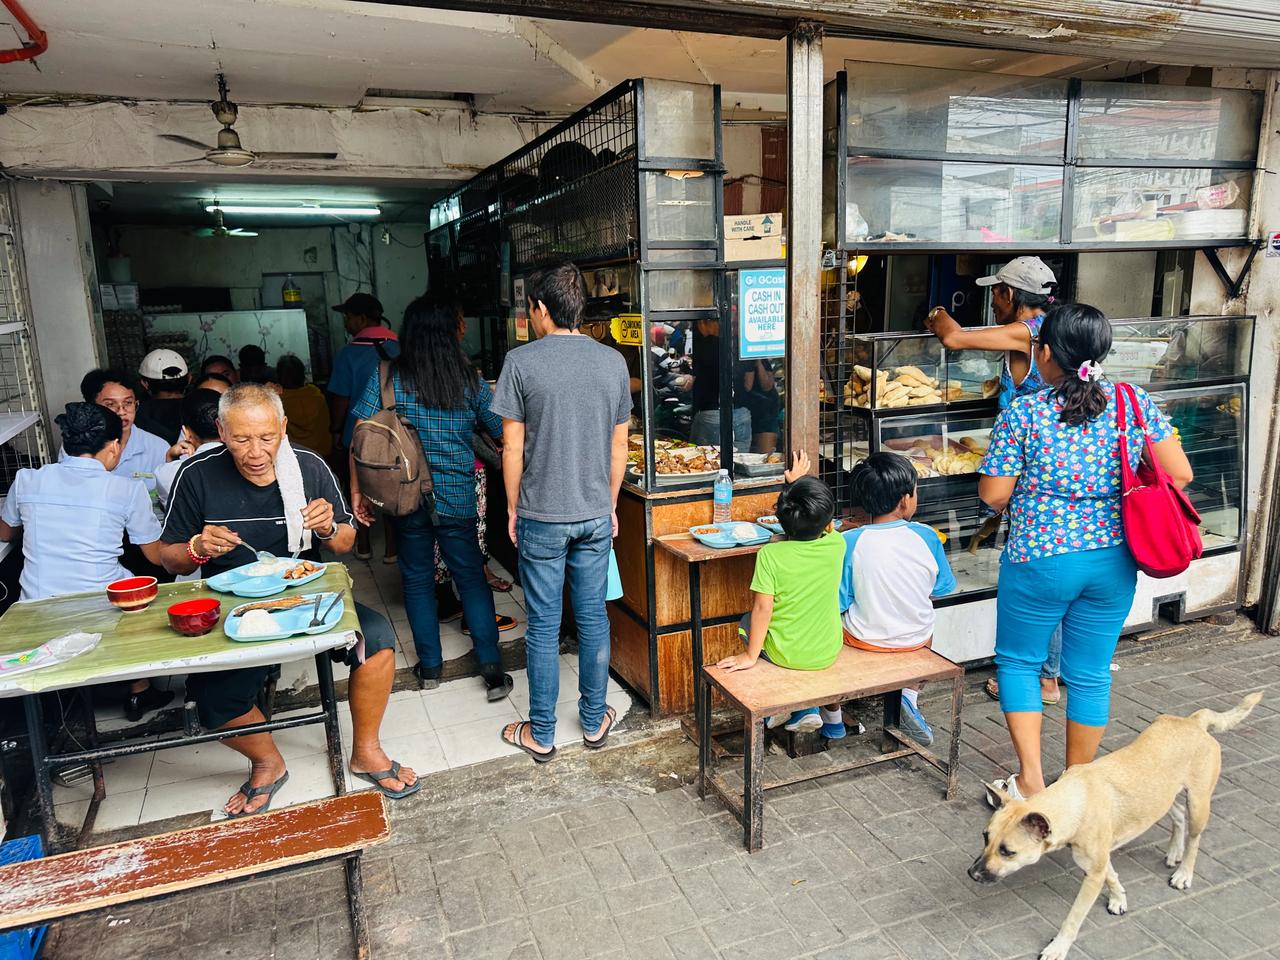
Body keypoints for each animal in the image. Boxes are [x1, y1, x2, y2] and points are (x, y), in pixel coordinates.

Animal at [967, 691, 1259, 960]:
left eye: (1008, 852)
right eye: (984, 837)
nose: (972, 873)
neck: (1076, 799)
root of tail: (1193, 721)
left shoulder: (1093, 873)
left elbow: (1074, 917)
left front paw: (1058, 947)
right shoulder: (1096, 858)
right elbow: (1111, 874)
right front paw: (1119, 898)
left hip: (1198, 804)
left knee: (1195, 840)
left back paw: (1184, 873)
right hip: (1162, 797)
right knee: (1177, 815)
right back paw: (1174, 852)